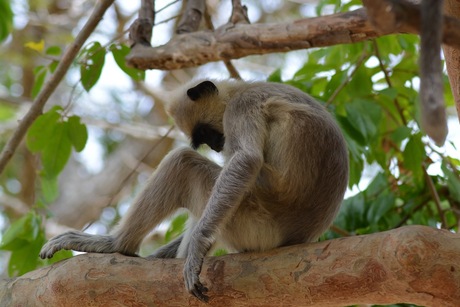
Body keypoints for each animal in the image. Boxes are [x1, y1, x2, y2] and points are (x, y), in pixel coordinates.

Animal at [40, 79, 348, 304]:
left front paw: (197, 248)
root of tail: (300, 236)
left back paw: (116, 245)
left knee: (182, 162)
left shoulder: (241, 106)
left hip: (256, 226)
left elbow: (245, 160)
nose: (216, 146)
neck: (241, 89)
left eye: (205, 133)